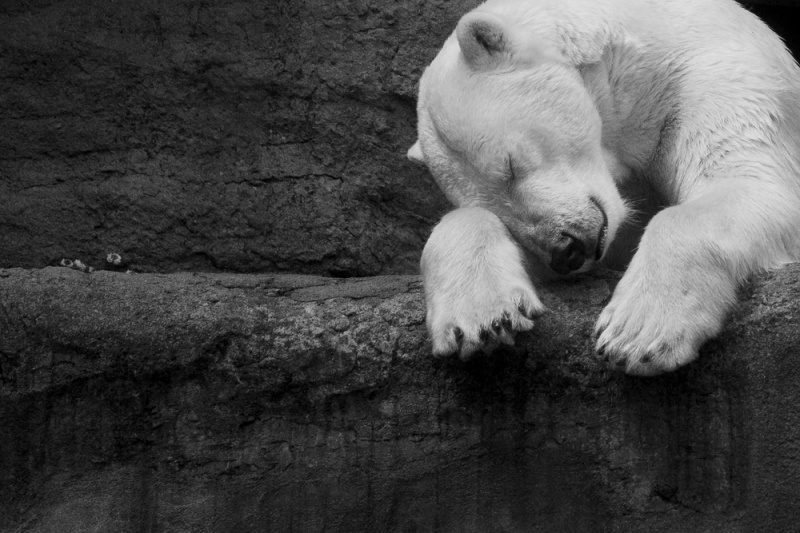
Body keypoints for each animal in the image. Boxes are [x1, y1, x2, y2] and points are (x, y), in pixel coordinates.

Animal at [407, 0, 800, 375]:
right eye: (498, 207)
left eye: (510, 164)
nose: (566, 250)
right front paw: (482, 320)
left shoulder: (712, 72)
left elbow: (751, 183)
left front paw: (637, 335)